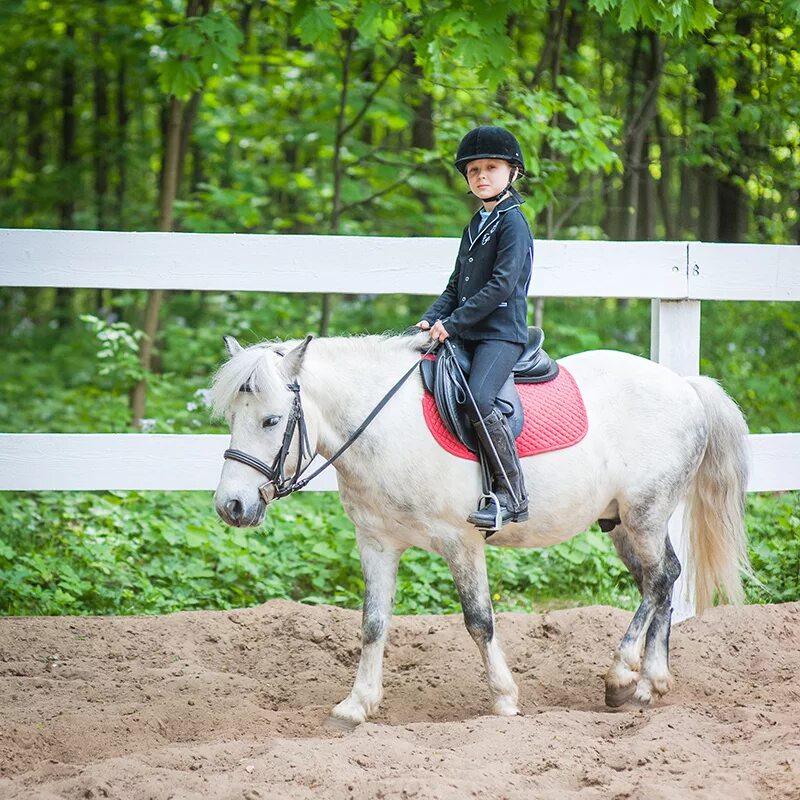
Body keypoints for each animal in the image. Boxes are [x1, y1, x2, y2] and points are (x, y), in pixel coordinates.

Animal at [211, 332, 752, 724]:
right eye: (232, 417)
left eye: (272, 420)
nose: (232, 506)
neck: (385, 427)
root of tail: (685, 385)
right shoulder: (377, 542)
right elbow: (373, 623)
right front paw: (356, 705)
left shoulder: (461, 542)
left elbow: (479, 621)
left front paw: (504, 699)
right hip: (622, 521)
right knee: (662, 579)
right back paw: (649, 684)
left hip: (646, 512)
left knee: (658, 581)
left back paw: (623, 676)